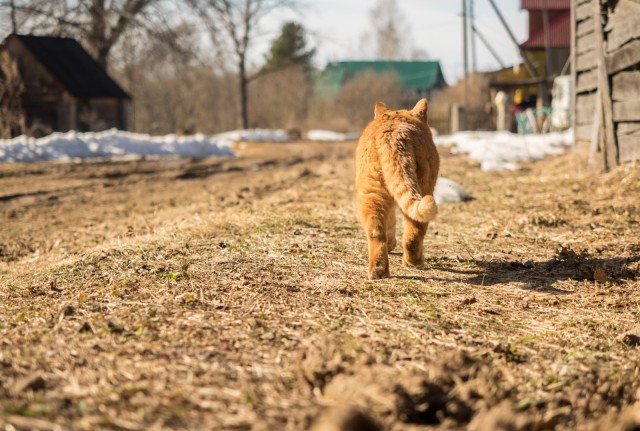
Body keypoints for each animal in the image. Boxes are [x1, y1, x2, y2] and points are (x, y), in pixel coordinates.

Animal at [356, 98, 440, 280]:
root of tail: (393, 135)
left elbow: (390, 222)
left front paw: (390, 245)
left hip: (371, 192)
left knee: (376, 230)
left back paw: (379, 271)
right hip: (425, 187)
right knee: (415, 231)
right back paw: (414, 263)